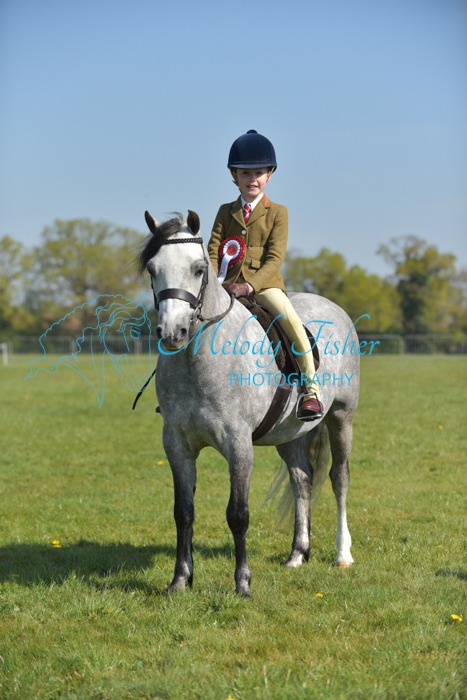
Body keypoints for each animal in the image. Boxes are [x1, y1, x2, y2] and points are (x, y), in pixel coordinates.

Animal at [140, 210, 361, 596]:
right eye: (153, 269)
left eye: (199, 268)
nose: (172, 332)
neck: (197, 360)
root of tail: (333, 306)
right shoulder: (177, 445)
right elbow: (183, 512)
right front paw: (180, 580)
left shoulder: (239, 443)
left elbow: (238, 514)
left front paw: (242, 583)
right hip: (289, 434)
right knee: (302, 479)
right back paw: (297, 554)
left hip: (341, 417)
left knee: (339, 478)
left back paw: (342, 554)